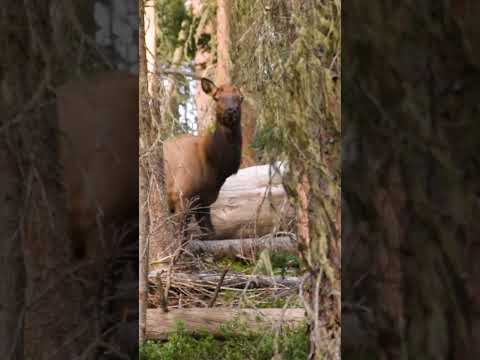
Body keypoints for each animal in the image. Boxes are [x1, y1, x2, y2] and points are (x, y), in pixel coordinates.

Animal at [164, 77, 244, 239]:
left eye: (240, 98)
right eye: (217, 97)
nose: (231, 110)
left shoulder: (204, 202)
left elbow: (211, 235)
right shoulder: (181, 196)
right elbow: (180, 240)